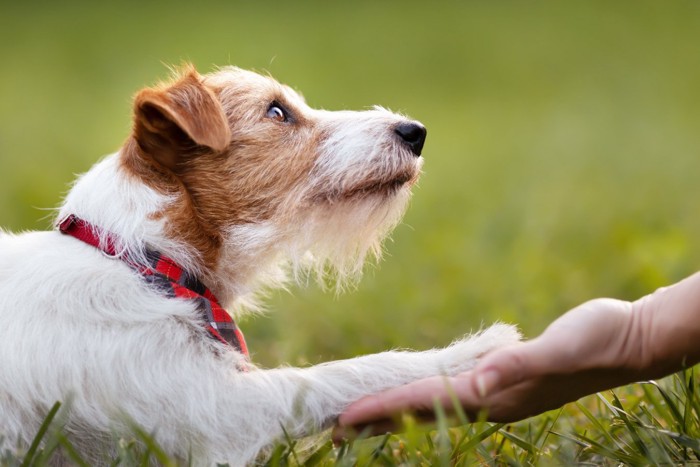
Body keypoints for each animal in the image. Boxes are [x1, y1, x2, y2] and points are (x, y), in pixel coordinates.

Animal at [0, 65, 520, 464]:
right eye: (276, 111)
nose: (415, 132)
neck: (144, 263)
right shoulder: (219, 412)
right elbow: (340, 373)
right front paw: (471, 354)